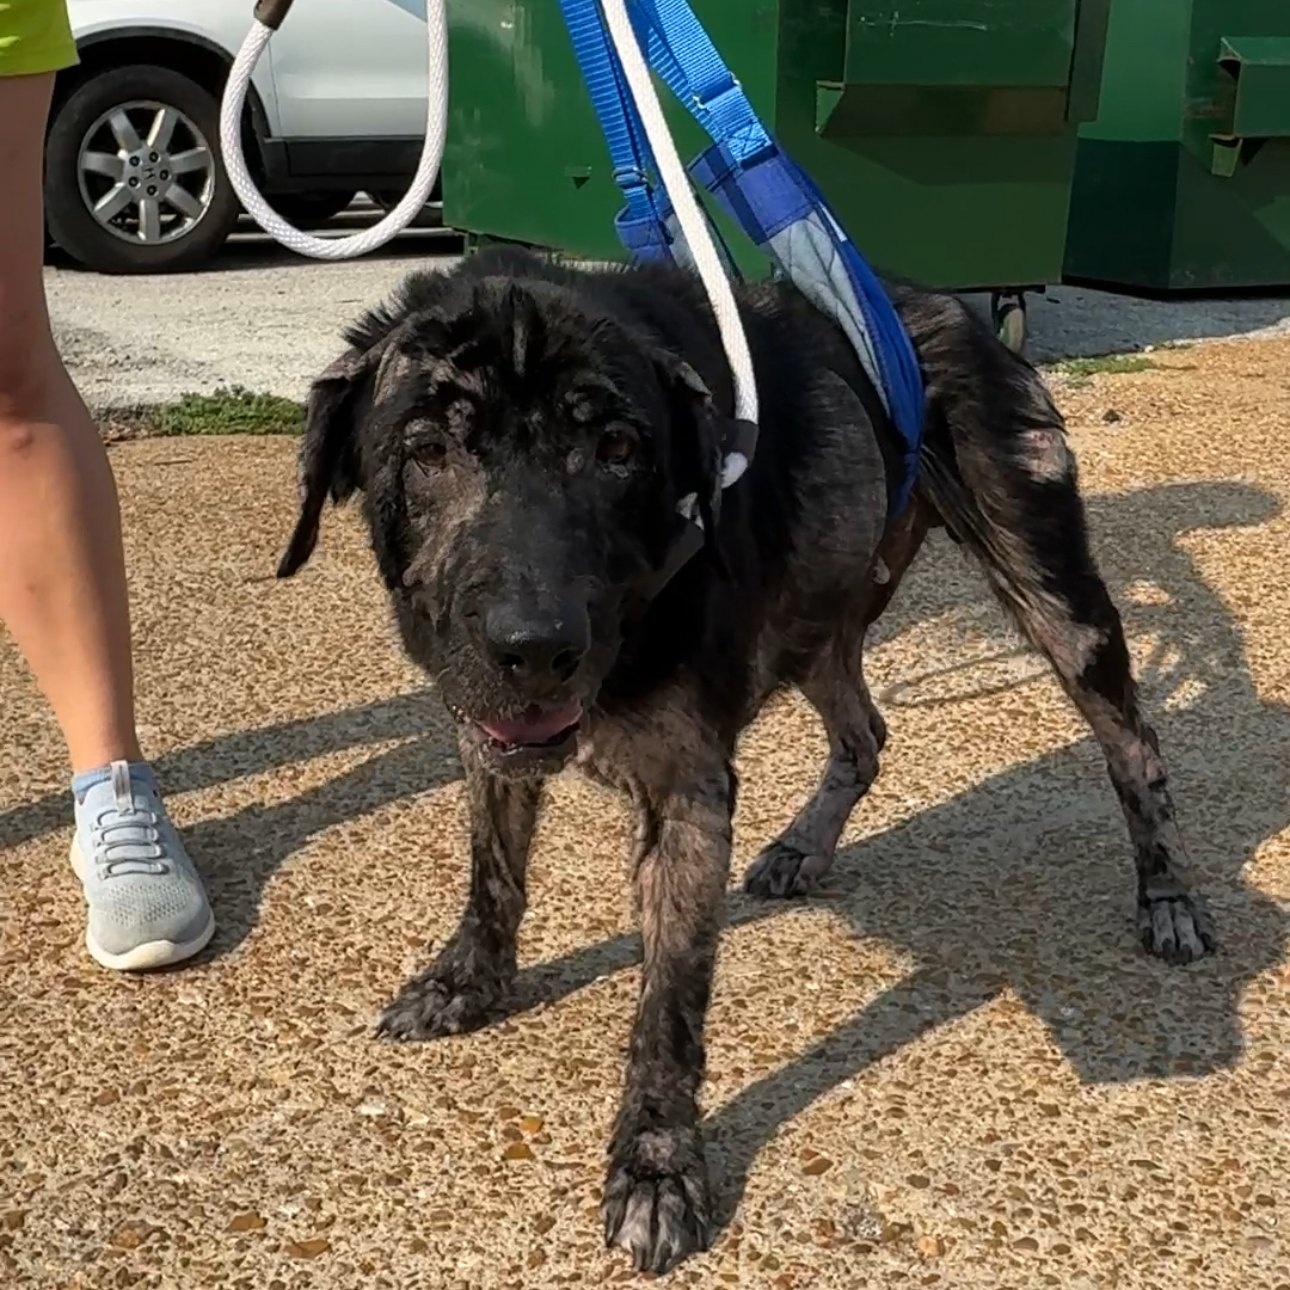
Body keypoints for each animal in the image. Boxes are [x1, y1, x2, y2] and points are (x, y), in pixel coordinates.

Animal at [277, 246, 1212, 1274]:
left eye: (619, 449)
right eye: (428, 451)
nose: (537, 646)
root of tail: (945, 309)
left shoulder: (689, 794)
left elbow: (670, 1003)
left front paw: (656, 1163)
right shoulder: (484, 731)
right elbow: (493, 875)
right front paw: (467, 981)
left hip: (1053, 594)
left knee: (1134, 744)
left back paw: (1169, 895)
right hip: (816, 621)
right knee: (866, 733)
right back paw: (805, 846)